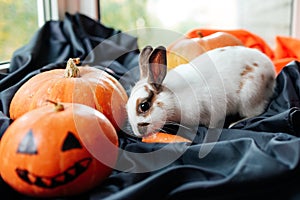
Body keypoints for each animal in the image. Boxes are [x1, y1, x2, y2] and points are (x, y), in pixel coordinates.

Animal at [125, 45, 276, 138]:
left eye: (144, 106)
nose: (138, 133)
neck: (173, 98)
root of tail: (270, 71)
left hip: (249, 97)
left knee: (257, 112)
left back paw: (235, 123)